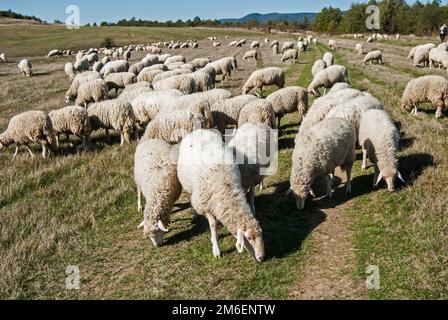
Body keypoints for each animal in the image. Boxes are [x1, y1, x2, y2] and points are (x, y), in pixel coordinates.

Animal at [177, 129, 264, 262]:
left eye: (261, 234)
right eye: (249, 238)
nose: (262, 257)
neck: (225, 189)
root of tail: (198, 130)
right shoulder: (206, 204)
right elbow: (213, 225)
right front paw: (216, 249)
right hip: (189, 187)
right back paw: (194, 214)